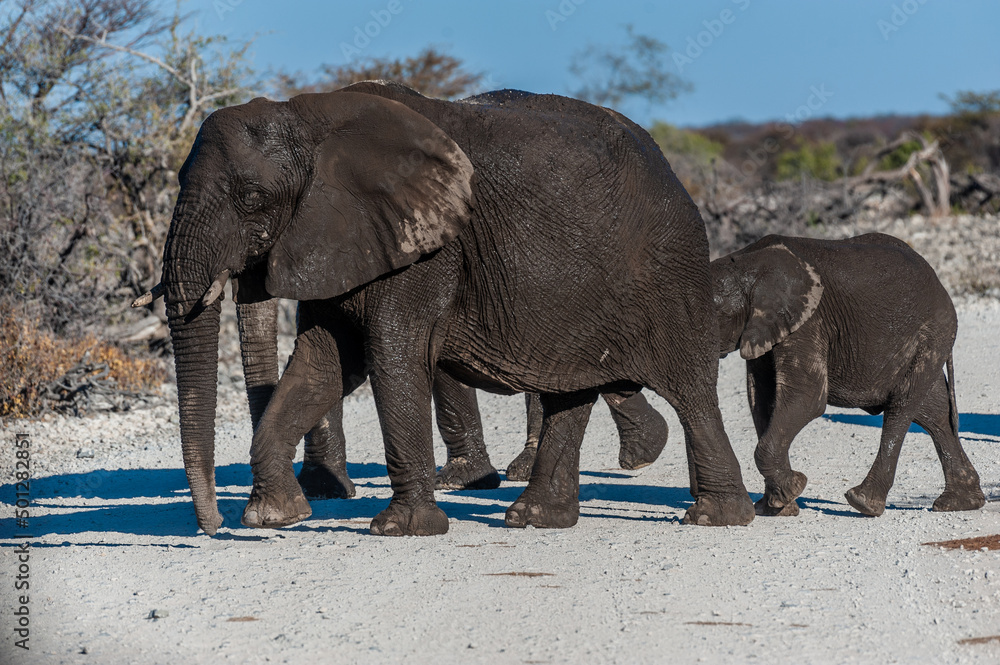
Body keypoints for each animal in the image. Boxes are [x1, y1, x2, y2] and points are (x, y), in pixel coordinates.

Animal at [151, 80, 755, 536]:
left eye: (253, 198)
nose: (213, 528)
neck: (308, 115)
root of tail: (672, 169)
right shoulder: (345, 238)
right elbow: (323, 364)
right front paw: (275, 517)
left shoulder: (427, 244)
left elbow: (392, 356)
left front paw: (401, 530)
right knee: (571, 390)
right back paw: (536, 519)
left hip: (668, 267)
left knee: (691, 388)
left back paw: (716, 517)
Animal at [711, 233, 986, 517]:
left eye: (715, 313)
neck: (747, 263)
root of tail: (938, 280)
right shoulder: (764, 328)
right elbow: (761, 400)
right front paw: (776, 507)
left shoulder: (809, 320)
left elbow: (807, 398)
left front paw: (791, 490)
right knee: (934, 411)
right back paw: (960, 503)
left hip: (933, 331)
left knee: (902, 406)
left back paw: (863, 502)